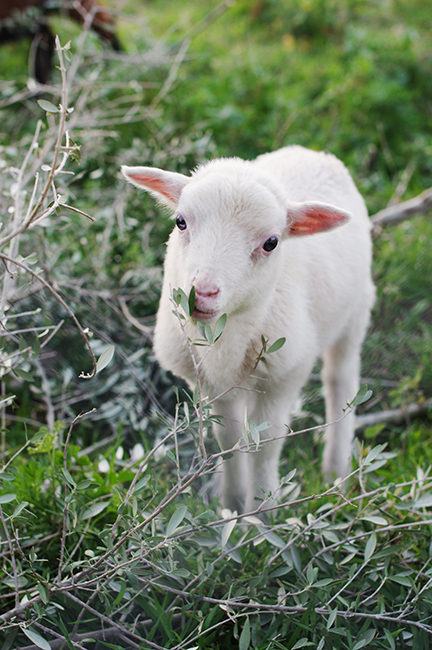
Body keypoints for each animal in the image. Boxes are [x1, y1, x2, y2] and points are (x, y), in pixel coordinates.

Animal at [121, 146, 374, 512]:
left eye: (271, 242)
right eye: (180, 222)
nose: (203, 292)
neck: (222, 341)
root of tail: (312, 152)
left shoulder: (284, 374)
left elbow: (265, 441)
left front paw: (262, 511)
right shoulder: (207, 381)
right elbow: (227, 437)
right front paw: (232, 503)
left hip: (356, 309)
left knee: (340, 380)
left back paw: (336, 471)